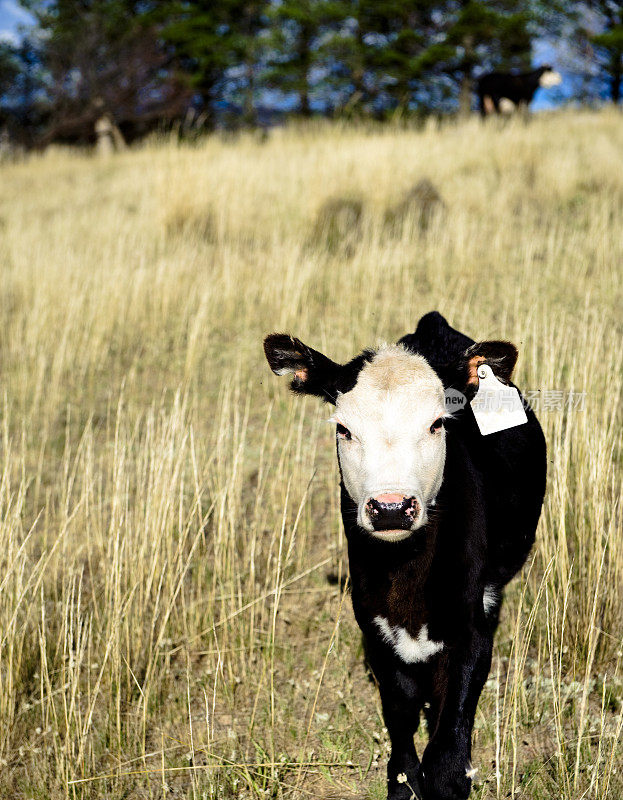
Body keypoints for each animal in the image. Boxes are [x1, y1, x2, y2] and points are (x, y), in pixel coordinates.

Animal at [264, 312, 544, 800]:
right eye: (343, 428)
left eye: (437, 424)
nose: (392, 507)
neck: (406, 581)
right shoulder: (373, 624)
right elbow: (399, 711)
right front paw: (403, 781)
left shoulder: (470, 629)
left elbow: (449, 747)